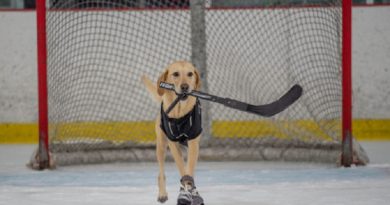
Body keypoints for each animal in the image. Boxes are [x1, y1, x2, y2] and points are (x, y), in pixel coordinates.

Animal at [142, 60, 204, 204]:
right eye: (175, 74)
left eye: (190, 74)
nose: (185, 87)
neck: (179, 112)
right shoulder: (173, 143)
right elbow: (182, 168)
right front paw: (185, 192)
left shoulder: (193, 142)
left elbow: (189, 169)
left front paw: (192, 192)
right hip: (161, 146)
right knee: (161, 173)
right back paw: (162, 194)